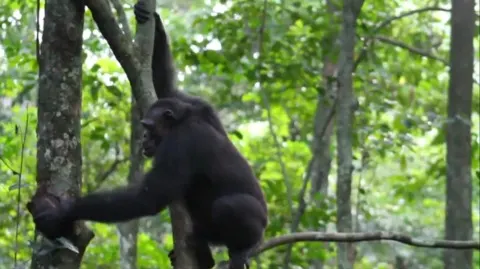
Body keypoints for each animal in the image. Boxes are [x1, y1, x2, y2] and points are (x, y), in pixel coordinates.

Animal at [26, 2, 268, 268]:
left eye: (149, 127)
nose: (143, 138)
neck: (182, 121)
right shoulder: (201, 108)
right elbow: (166, 87)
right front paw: (152, 19)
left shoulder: (180, 143)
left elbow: (148, 197)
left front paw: (59, 214)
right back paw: (203, 254)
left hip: (257, 224)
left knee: (229, 207)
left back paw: (242, 249)